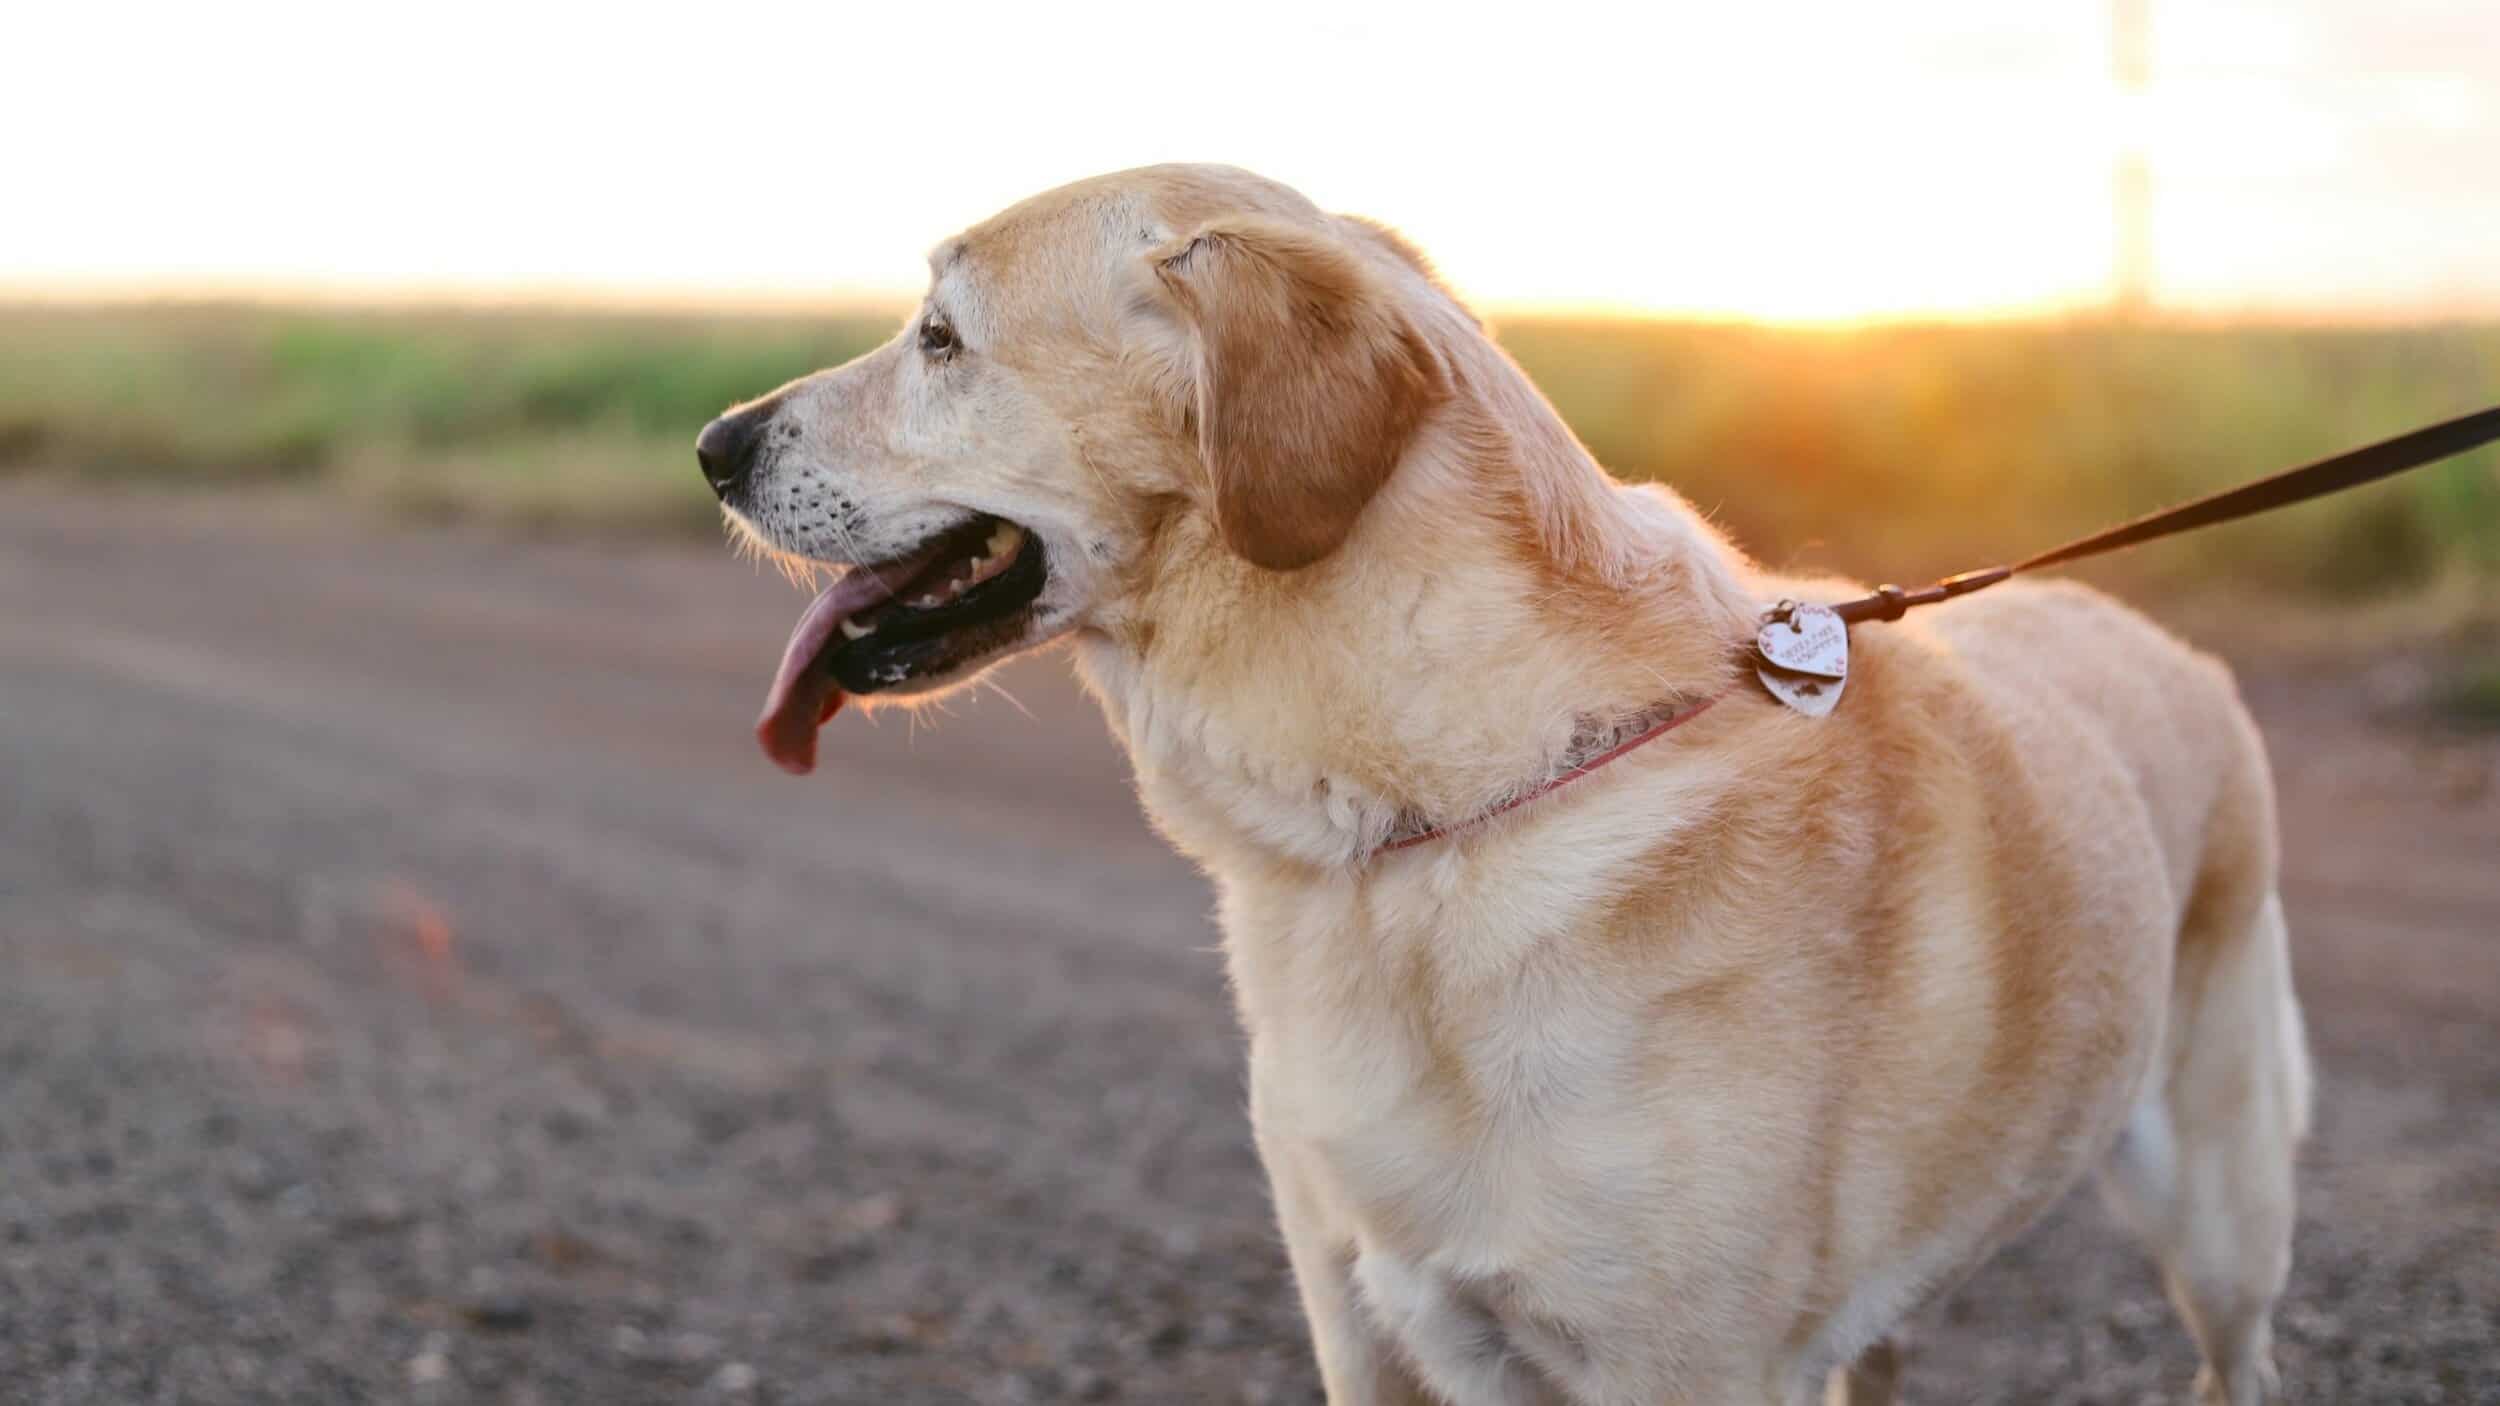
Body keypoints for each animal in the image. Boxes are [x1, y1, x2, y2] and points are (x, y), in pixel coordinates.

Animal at [700, 166, 2300, 1400]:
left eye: (940, 338)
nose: (714, 444)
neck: (1409, 826)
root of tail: (2168, 642)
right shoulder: (1381, 1328)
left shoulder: (1680, 1364)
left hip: (2221, 1218)